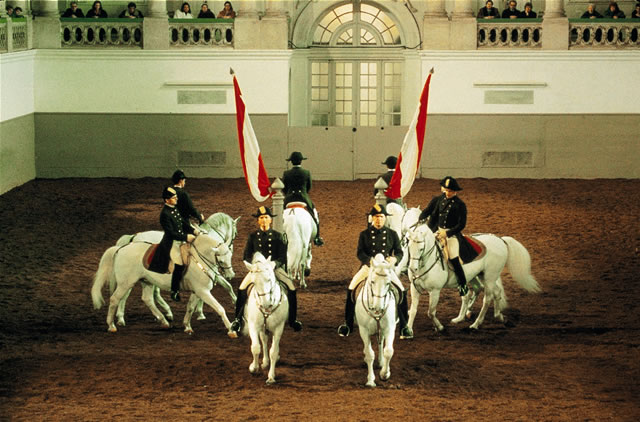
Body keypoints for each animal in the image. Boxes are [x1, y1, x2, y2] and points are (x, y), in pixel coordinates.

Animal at [92, 232, 235, 334]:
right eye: (221, 260)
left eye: (230, 256)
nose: (230, 275)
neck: (198, 258)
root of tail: (120, 249)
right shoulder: (203, 291)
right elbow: (220, 308)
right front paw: (231, 329)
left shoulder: (197, 291)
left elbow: (190, 307)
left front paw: (187, 326)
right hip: (126, 283)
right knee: (115, 299)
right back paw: (112, 325)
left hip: (146, 282)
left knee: (147, 299)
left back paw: (164, 322)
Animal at [241, 252, 288, 384]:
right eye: (254, 282)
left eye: (269, 279)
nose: (265, 303)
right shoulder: (253, 325)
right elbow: (256, 347)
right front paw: (254, 368)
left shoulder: (279, 328)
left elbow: (274, 351)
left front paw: (271, 377)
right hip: (262, 327)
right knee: (264, 340)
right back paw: (265, 362)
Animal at [352, 252, 398, 388]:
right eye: (372, 282)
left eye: (388, 283)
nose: (378, 307)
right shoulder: (364, 330)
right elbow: (369, 353)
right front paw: (370, 380)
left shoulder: (389, 328)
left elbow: (388, 351)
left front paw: (385, 374)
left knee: (380, 342)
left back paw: (381, 362)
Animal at [404, 224, 540, 332]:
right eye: (409, 246)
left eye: (421, 248)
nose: (413, 269)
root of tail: (501, 240)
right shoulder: (414, 288)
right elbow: (414, 309)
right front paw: (408, 329)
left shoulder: (435, 291)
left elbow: (431, 312)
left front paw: (440, 327)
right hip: (481, 276)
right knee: (495, 292)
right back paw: (499, 317)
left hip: (490, 277)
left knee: (487, 298)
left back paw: (476, 324)